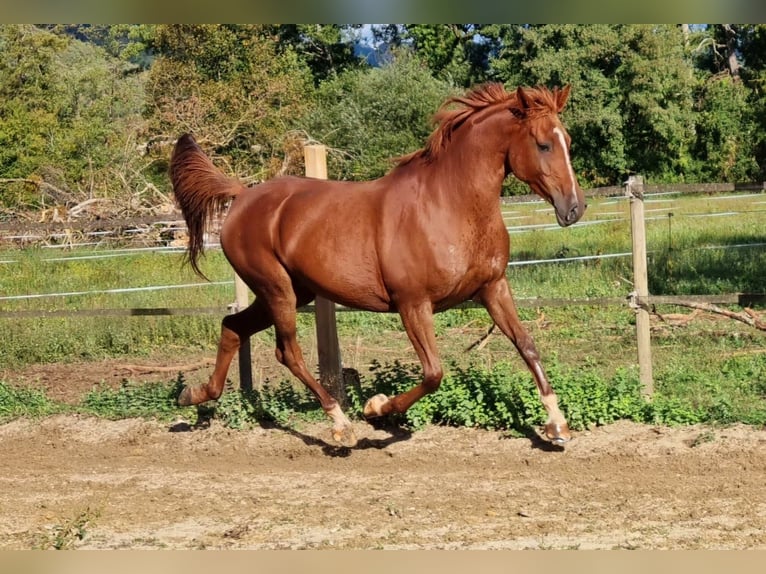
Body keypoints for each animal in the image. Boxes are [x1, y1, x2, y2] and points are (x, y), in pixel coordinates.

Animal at [170, 82, 586, 448]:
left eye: (568, 141)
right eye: (543, 144)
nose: (574, 209)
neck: (449, 205)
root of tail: (241, 196)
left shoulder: (493, 287)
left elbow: (528, 346)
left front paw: (557, 425)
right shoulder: (413, 304)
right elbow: (433, 373)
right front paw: (376, 408)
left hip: (289, 292)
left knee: (233, 327)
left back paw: (193, 395)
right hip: (277, 291)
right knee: (287, 352)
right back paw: (341, 425)